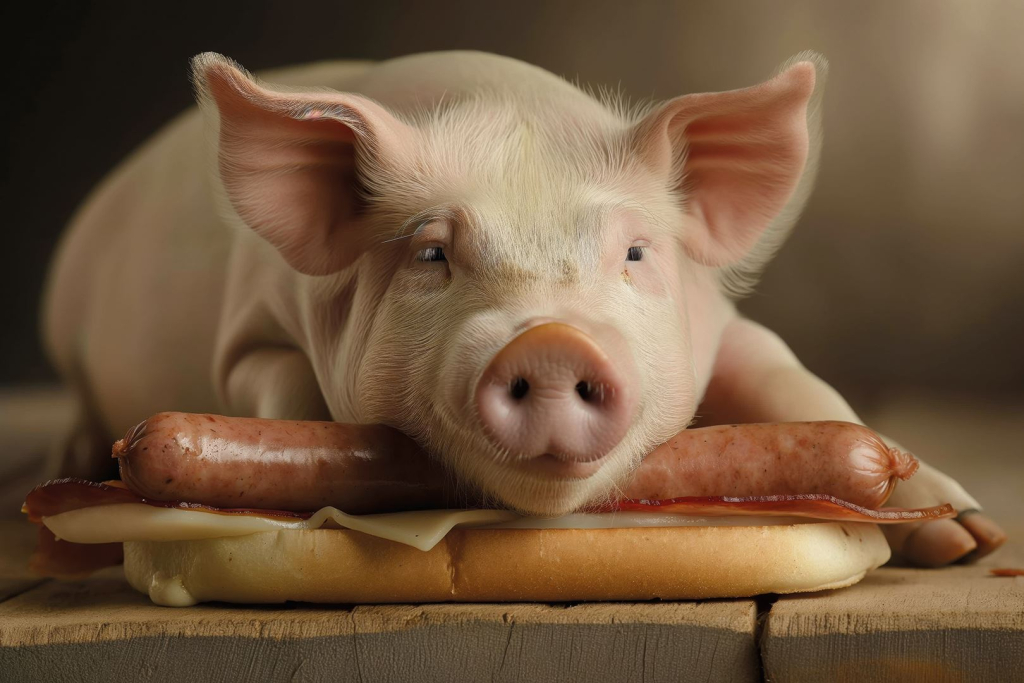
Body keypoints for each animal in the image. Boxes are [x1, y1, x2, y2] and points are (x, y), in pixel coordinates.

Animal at [41, 50, 1005, 567]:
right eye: (432, 254)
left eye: (635, 254)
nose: (550, 343)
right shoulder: (249, 336)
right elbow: (283, 396)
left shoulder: (732, 334)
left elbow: (797, 386)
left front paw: (968, 538)